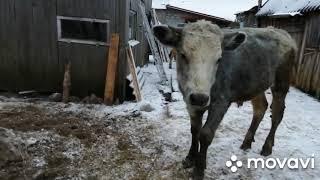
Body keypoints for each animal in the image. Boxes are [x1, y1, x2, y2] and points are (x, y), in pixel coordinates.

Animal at [152, 20, 298, 179]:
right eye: (183, 55)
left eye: (219, 59)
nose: (199, 98)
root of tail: (281, 32)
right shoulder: (190, 102)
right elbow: (194, 130)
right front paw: (190, 158)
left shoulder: (221, 102)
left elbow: (205, 134)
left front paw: (199, 169)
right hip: (256, 84)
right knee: (260, 108)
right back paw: (247, 142)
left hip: (281, 82)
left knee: (277, 114)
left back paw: (267, 146)